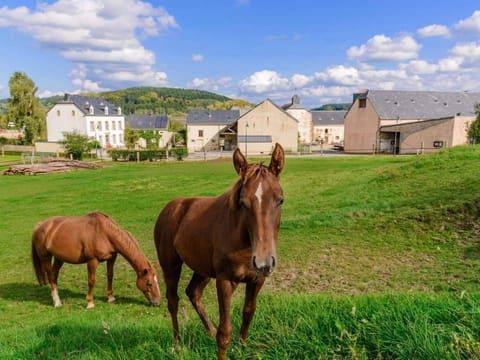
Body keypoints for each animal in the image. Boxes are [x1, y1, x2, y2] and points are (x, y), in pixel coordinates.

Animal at [33, 211, 163, 310]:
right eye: (149, 283)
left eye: (157, 281)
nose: (158, 303)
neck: (104, 232)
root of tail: (40, 225)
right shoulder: (92, 261)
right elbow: (91, 281)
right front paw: (90, 303)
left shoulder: (112, 258)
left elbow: (110, 276)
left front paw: (111, 298)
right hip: (46, 257)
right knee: (50, 276)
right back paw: (57, 302)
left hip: (59, 258)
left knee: (54, 276)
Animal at [155, 142, 284, 358]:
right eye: (242, 202)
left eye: (280, 200)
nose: (264, 262)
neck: (245, 243)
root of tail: (169, 208)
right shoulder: (224, 281)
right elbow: (225, 332)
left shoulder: (257, 280)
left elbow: (248, 313)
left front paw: (242, 346)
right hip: (171, 267)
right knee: (173, 301)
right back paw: (177, 343)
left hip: (202, 269)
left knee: (193, 293)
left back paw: (208, 331)